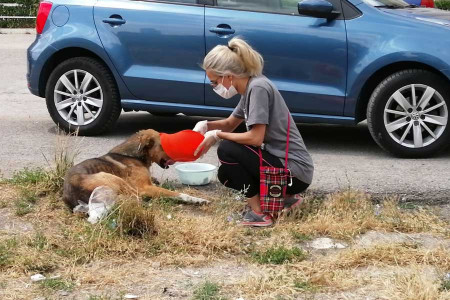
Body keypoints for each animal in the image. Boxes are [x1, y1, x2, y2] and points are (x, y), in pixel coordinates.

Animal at [62, 129, 208, 211]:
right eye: (163, 145)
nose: (175, 158)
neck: (133, 155)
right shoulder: (144, 187)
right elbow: (177, 194)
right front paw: (197, 199)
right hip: (116, 180)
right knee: (138, 199)